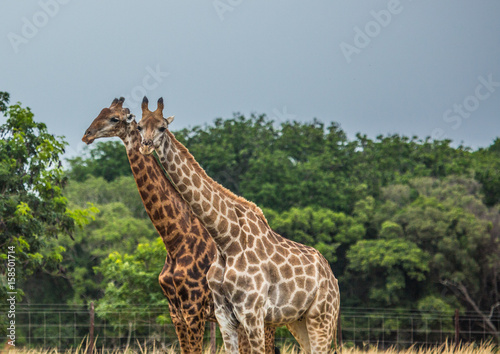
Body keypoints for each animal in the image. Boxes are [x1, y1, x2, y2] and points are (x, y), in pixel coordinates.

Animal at [82, 97, 278, 354]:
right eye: (100, 112)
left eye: (115, 118)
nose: (87, 135)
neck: (174, 239)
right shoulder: (175, 312)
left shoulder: (193, 310)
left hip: (264, 318)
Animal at [137, 95, 340, 352]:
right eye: (139, 126)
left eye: (163, 127)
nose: (145, 145)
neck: (225, 239)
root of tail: (332, 275)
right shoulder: (224, 316)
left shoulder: (252, 313)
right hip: (299, 321)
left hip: (322, 317)